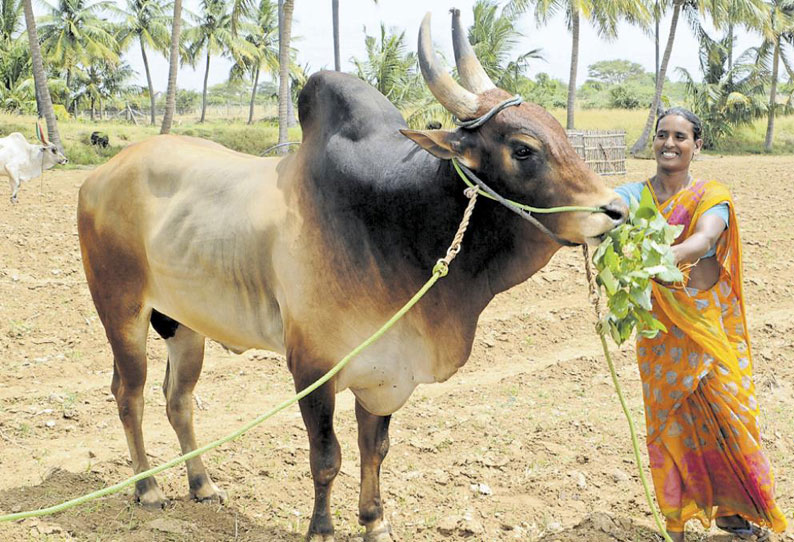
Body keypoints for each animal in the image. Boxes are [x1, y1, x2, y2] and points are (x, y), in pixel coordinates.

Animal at [77, 9, 628, 542]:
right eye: (524, 148)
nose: (616, 210)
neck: (393, 226)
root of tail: (99, 175)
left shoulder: (384, 369)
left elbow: (373, 450)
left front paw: (374, 522)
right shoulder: (312, 368)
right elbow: (327, 458)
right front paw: (321, 531)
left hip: (184, 325)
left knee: (179, 400)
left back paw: (202, 484)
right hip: (121, 311)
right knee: (129, 395)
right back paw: (148, 488)